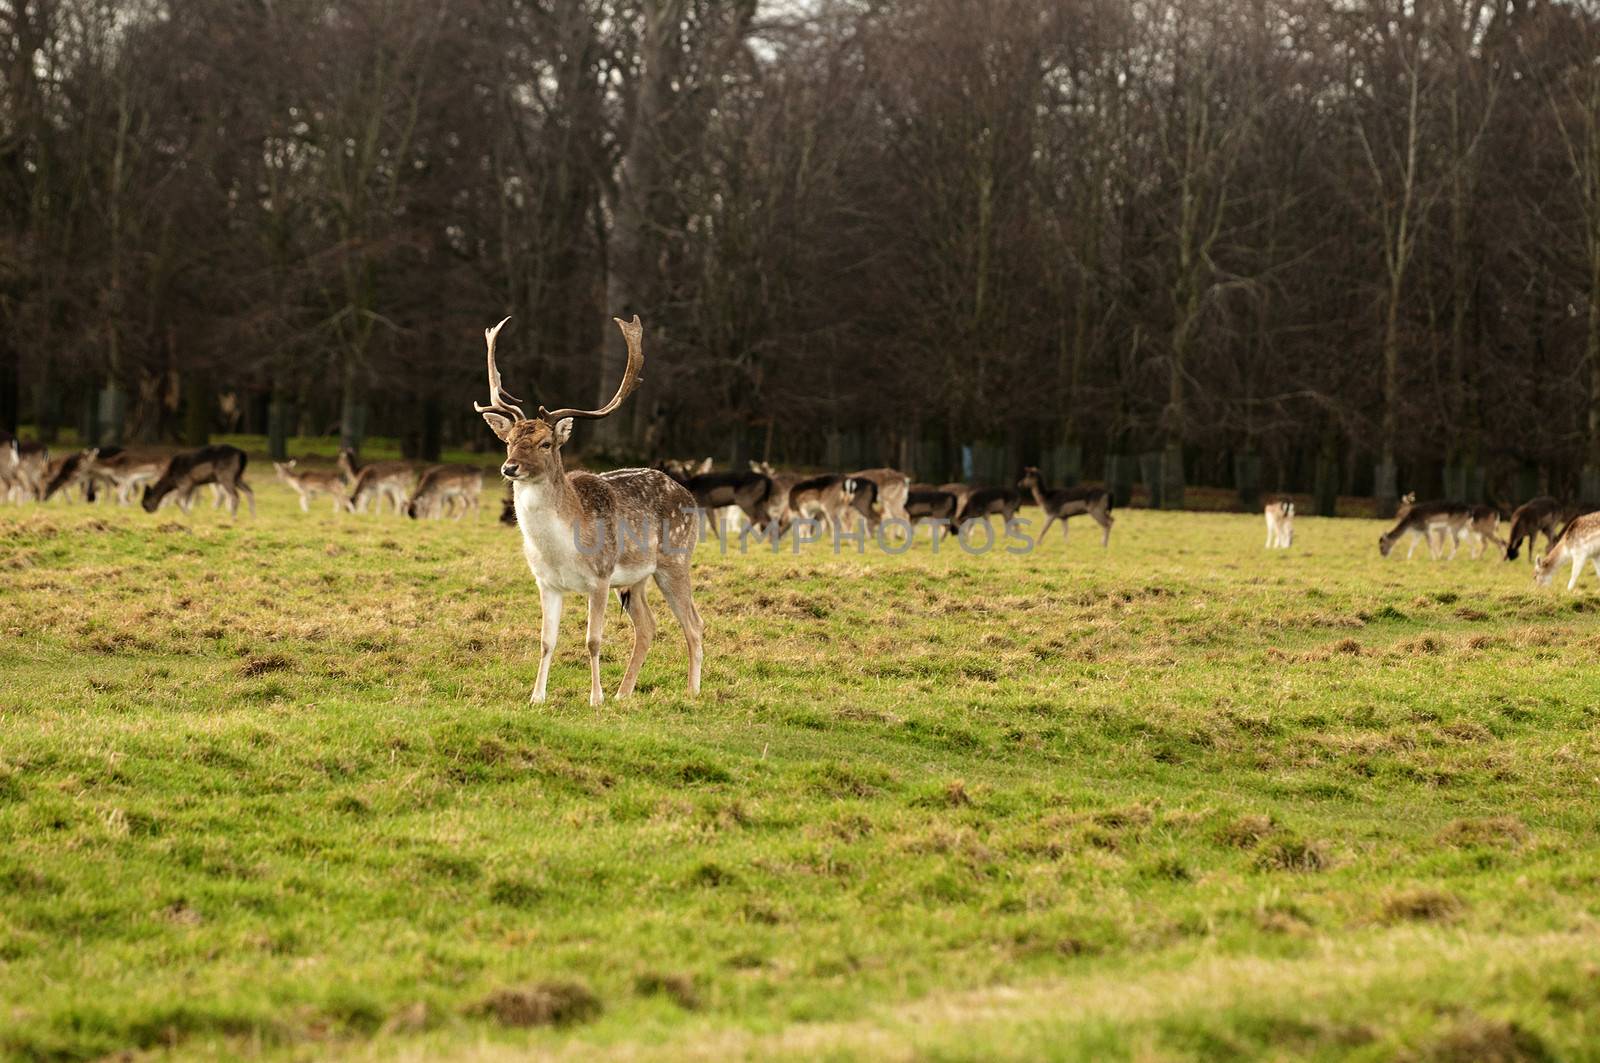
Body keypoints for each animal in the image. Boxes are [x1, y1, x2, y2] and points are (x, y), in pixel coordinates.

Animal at [473, 315, 700, 704]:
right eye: (509, 440)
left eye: (546, 443)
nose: (509, 468)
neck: (560, 549)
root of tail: (690, 495)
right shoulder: (546, 582)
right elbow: (546, 641)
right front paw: (536, 697)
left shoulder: (601, 576)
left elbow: (593, 641)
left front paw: (596, 698)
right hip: (636, 579)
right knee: (648, 626)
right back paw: (624, 694)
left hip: (676, 560)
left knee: (694, 624)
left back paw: (691, 692)